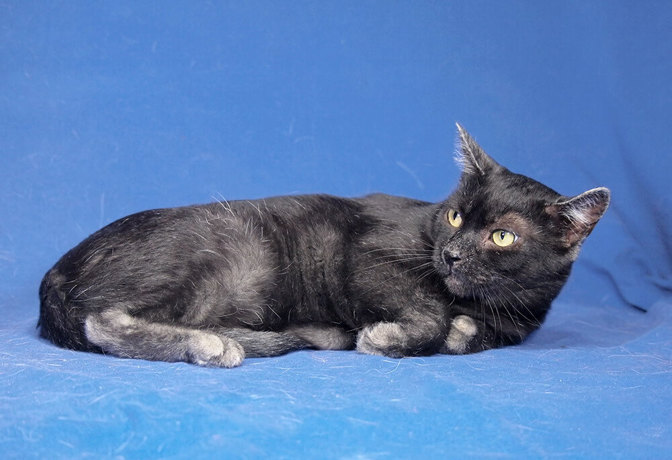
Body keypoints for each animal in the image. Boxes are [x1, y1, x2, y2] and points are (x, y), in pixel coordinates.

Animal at [38, 125, 610, 367]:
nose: (451, 253)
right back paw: (209, 345)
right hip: (234, 250)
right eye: (454, 216)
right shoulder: (367, 257)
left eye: (502, 236)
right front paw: (389, 337)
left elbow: (470, 335)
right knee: (102, 321)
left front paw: (462, 332)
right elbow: (428, 313)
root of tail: (54, 275)